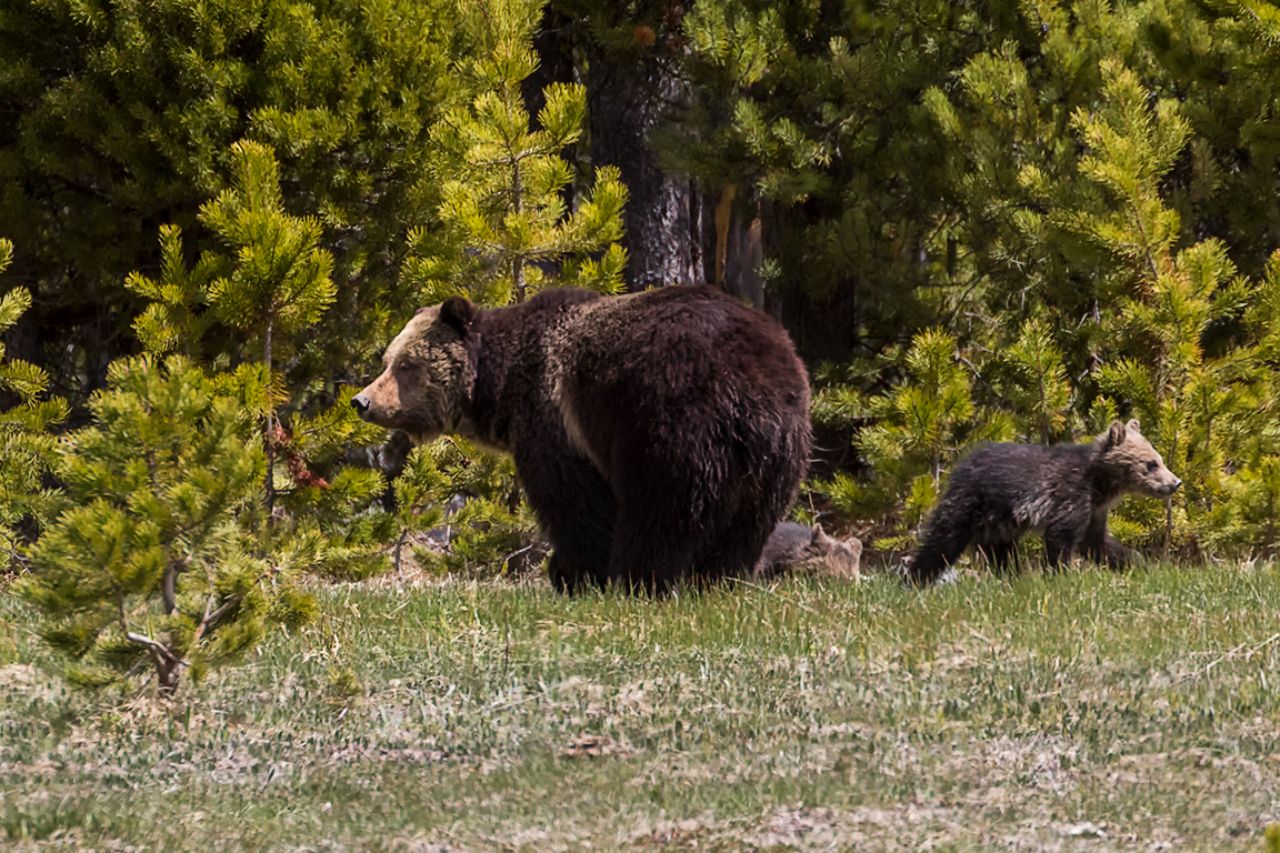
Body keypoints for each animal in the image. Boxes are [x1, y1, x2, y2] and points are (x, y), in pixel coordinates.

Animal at [352, 285, 812, 594]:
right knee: (747, 523)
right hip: (777, 451)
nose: (362, 401)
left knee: (661, 507)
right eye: (387, 359)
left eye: (406, 365)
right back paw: (720, 579)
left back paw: (639, 577)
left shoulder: (555, 419)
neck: (502, 385)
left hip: (671, 418)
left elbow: (572, 502)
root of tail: (753, 381)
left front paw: (573, 572)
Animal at [905, 419, 1181, 586]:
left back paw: (1012, 577)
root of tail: (961, 464)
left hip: (999, 523)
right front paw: (1062, 575)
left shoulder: (1095, 511)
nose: (1175, 482)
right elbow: (1062, 538)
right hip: (970, 504)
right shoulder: (1070, 495)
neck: (1100, 485)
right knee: (943, 541)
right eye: (1151, 463)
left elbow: (1096, 543)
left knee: (1001, 552)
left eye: (1158, 458)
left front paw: (1138, 563)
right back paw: (915, 578)